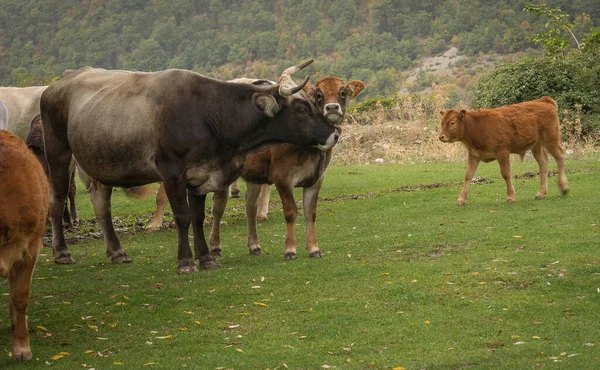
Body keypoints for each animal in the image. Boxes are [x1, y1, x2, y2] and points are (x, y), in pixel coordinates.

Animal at [41, 60, 342, 274]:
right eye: (302, 108)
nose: (334, 134)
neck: (207, 112)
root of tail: (58, 84)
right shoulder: (171, 174)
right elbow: (183, 217)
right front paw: (186, 261)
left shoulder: (201, 176)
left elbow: (198, 217)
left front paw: (206, 257)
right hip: (58, 154)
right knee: (56, 201)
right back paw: (62, 253)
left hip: (99, 164)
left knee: (101, 206)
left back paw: (117, 252)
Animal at [438, 95, 568, 205]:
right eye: (442, 123)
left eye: (452, 123)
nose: (441, 137)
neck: (477, 127)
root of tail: (543, 100)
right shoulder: (474, 155)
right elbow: (468, 175)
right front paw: (461, 199)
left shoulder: (502, 153)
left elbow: (506, 173)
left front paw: (510, 196)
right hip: (536, 145)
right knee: (543, 163)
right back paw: (541, 193)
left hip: (551, 140)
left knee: (560, 157)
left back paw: (563, 187)